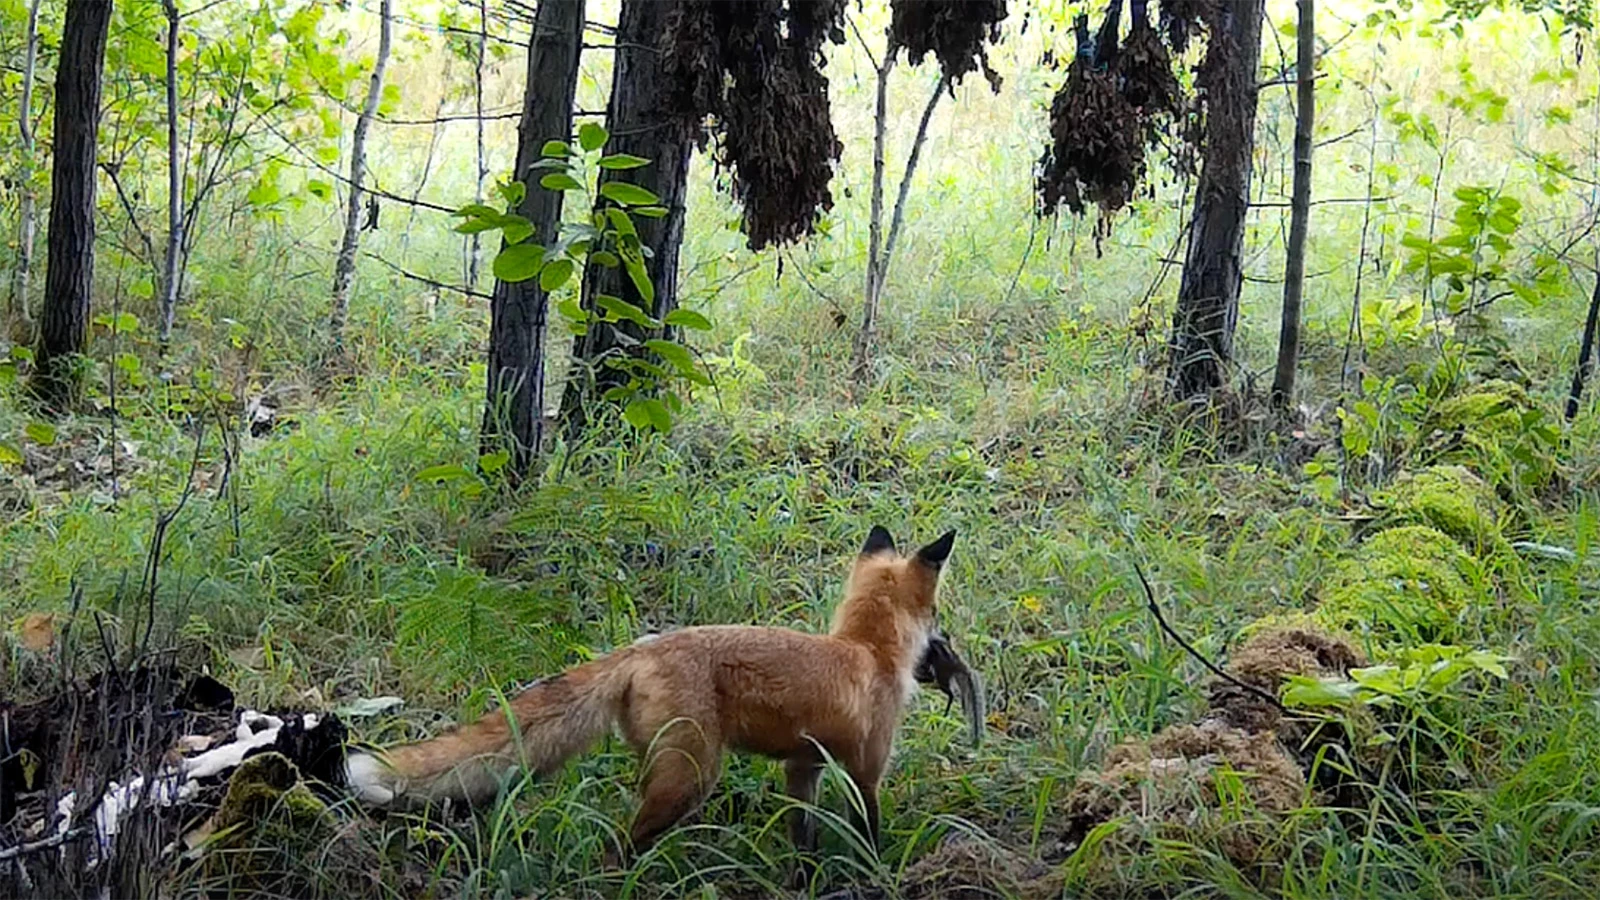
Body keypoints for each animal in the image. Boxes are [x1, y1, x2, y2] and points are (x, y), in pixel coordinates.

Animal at [345, 522, 953, 851]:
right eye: (937, 613)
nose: (942, 650)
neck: (866, 651)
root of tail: (642, 647)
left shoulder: (802, 768)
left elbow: (801, 840)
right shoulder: (865, 770)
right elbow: (869, 832)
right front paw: (873, 870)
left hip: (665, 769)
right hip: (691, 779)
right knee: (617, 847)